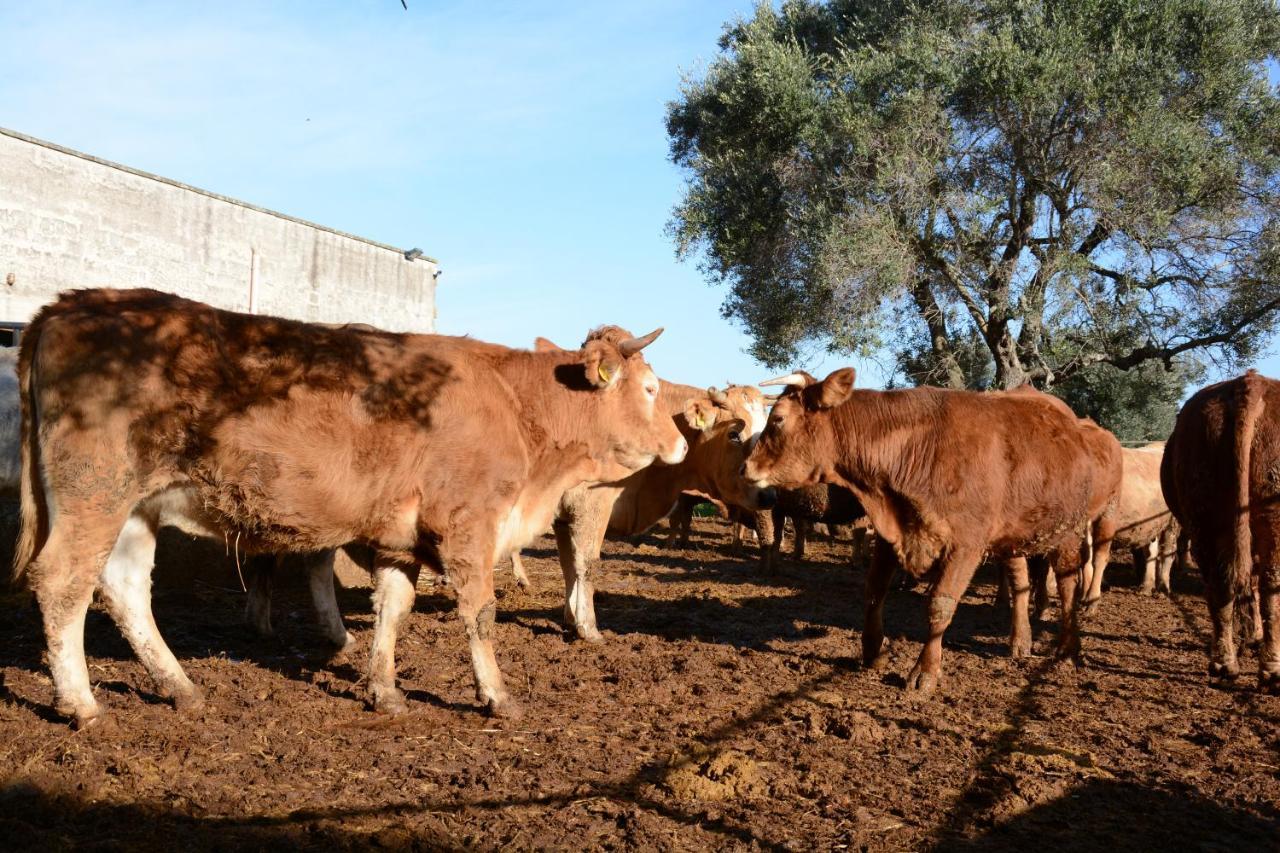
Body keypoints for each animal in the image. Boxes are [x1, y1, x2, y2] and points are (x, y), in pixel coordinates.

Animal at [12, 286, 691, 722]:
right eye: (650, 388)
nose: (683, 442)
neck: (515, 404)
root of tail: (69, 303)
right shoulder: (469, 527)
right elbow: (480, 613)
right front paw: (498, 698)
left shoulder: (399, 537)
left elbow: (392, 609)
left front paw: (384, 691)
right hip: (94, 493)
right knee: (63, 583)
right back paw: (82, 704)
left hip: (137, 508)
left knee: (124, 587)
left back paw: (179, 687)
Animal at [742, 366, 1121, 691]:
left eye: (777, 419)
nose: (746, 467)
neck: (918, 448)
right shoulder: (891, 532)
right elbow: (874, 590)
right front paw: (873, 652)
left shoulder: (966, 545)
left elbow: (940, 605)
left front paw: (924, 672)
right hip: (1013, 537)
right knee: (1020, 584)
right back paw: (1021, 641)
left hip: (1071, 529)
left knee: (1069, 584)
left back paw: (1068, 648)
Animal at [1162, 371, 1280, 691]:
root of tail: (1251, 382)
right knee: (1260, 584)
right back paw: (1257, 666)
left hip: (1207, 518)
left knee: (1227, 583)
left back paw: (1231, 664)